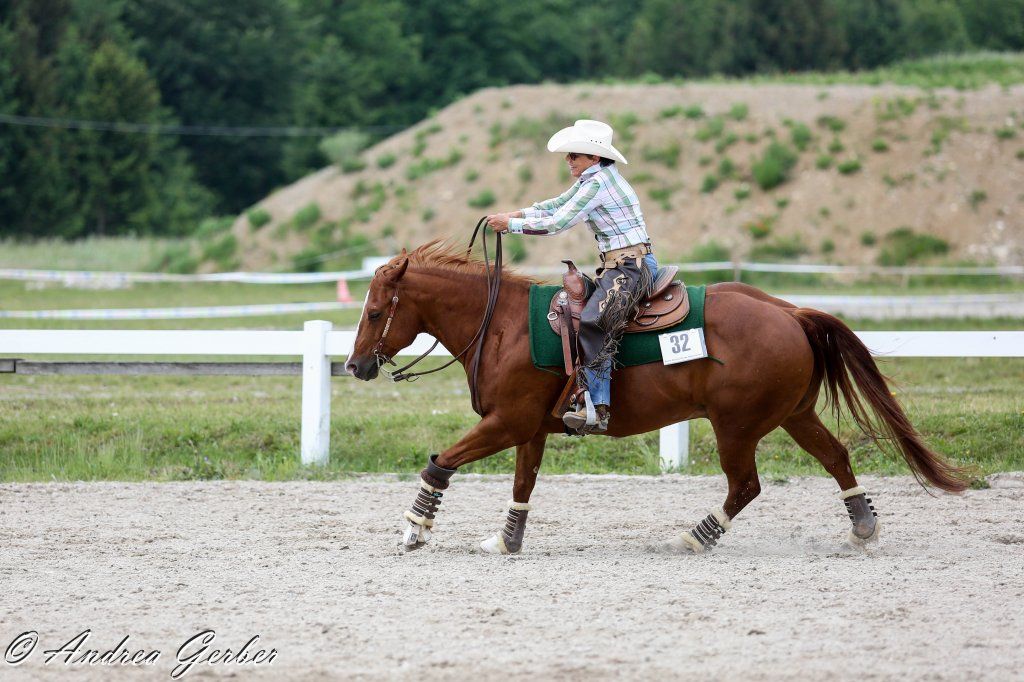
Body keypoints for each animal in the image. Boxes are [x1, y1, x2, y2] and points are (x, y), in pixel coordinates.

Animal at [345, 239, 969, 555]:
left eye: (374, 311)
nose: (354, 366)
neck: (501, 325)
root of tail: (790, 311)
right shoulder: (528, 429)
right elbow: (523, 486)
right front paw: (505, 540)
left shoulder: (506, 422)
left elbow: (441, 463)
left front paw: (414, 529)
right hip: (794, 414)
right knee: (836, 457)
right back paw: (863, 529)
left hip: (736, 426)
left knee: (746, 484)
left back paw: (696, 536)